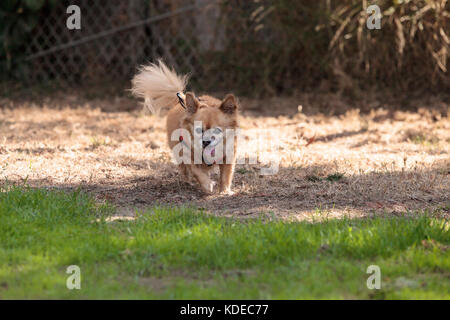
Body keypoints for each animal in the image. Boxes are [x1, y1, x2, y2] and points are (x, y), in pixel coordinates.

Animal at [131, 61, 239, 194]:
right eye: (198, 130)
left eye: (217, 130)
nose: (206, 142)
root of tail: (180, 102)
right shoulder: (187, 155)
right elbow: (197, 172)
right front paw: (207, 185)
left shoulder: (228, 156)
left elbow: (226, 175)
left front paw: (224, 191)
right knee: (184, 170)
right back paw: (188, 182)